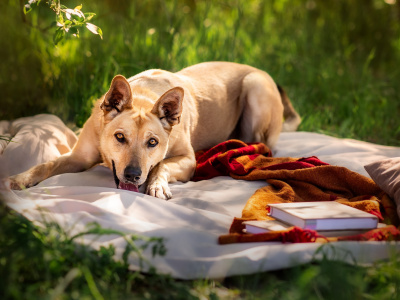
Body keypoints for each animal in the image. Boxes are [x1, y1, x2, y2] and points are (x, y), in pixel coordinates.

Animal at [8, 61, 300, 199]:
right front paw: (20, 178)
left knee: (262, 145)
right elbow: (46, 164)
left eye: (152, 142)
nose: (133, 175)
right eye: (119, 137)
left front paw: (157, 185)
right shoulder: (78, 158)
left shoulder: (188, 160)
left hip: (255, 87)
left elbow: (162, 165)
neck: (142, 97)